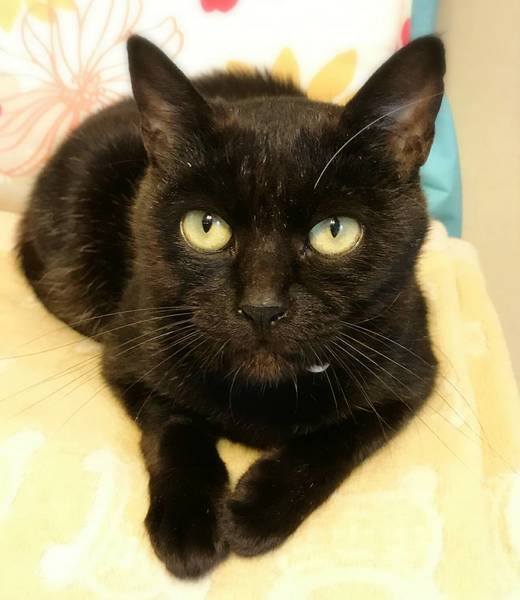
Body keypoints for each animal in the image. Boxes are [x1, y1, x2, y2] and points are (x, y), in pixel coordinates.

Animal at [18, 34, 443, 578]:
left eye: (335, 231)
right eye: (205, 226)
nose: (261, 306)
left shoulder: (410, 374)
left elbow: (335, 441)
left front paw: (255, 514)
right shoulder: (129, 357)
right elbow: (174, 425)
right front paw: (190, 525)